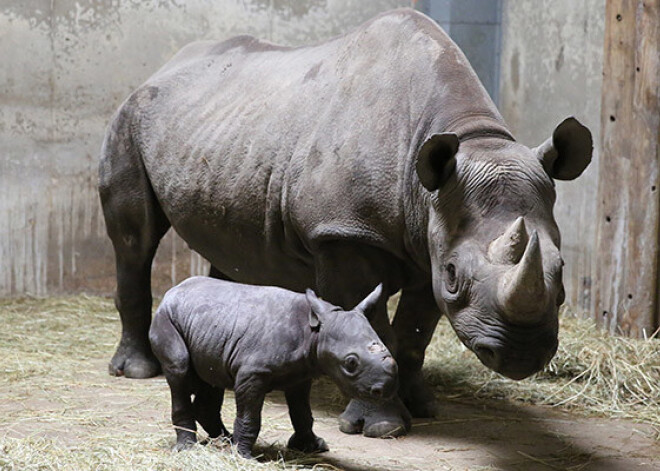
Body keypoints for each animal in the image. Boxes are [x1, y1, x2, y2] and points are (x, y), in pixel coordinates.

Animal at [150, 278, 398, 460]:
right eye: (351, 363)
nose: (385, 389)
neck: (316, 331)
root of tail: (170, 292)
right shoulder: (253, 373)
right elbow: (250, 416)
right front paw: (244, 457)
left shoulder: (301, 375)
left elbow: (302, 413)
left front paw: (312, 447)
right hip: (165, 318)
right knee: (180, 369)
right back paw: (188, 448)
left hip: (208, 327)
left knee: (212, 378)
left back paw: (223, 440)